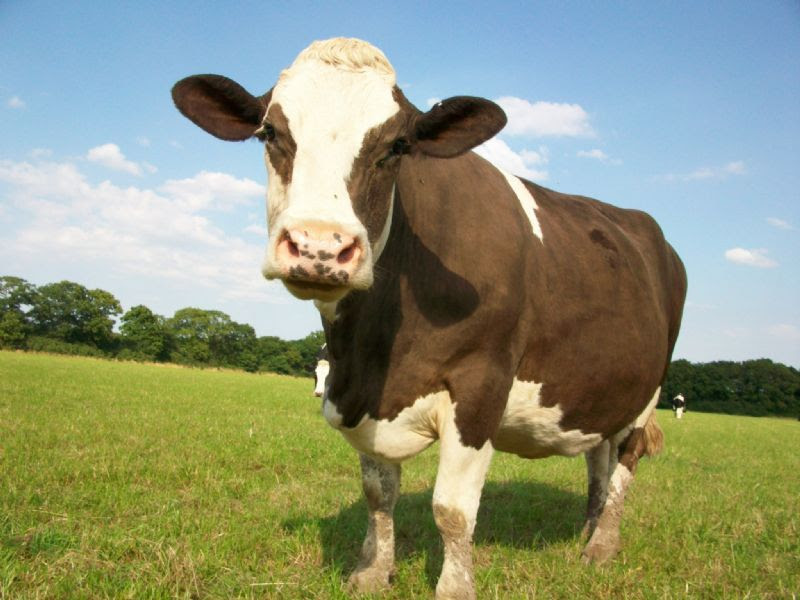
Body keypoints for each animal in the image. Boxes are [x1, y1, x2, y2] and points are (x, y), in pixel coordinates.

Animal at [172, 37, 687, 599]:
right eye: (269, 133)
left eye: (397, 145)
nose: (319, 247)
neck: (373, 353)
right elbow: (378, 492)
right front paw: (374, 571)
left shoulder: (480, 384)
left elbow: (452, 509)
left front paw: (454, 587)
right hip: (600, 391)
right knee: (599, 459)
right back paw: (589, 531)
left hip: (649, 390)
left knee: (626, 460)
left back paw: (602, 546)